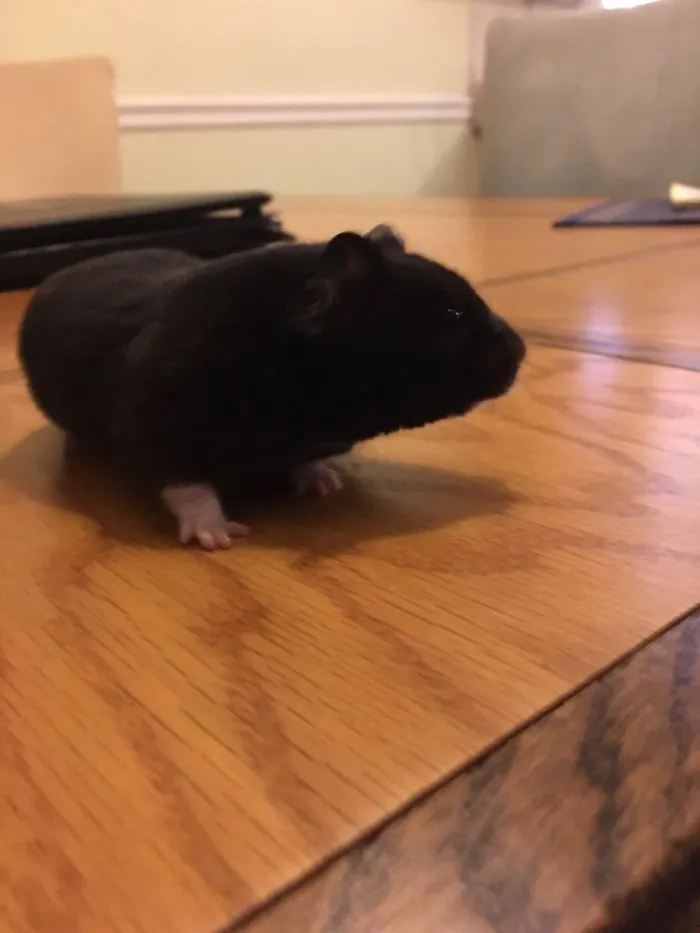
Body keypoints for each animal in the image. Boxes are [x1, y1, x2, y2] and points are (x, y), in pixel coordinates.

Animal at [19, 225, 526, 549]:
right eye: (452, 315)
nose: (522, 351)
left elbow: (305, 464)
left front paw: (325, 483)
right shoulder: (158, 424)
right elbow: (188, 487)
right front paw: (220, 537)